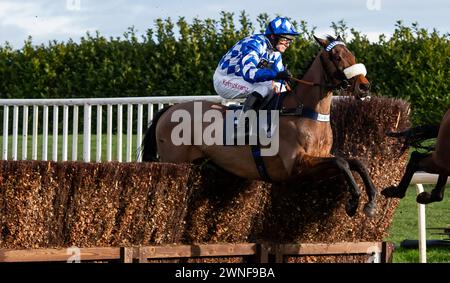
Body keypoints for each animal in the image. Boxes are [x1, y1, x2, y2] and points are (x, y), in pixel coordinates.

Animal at [142, 35, 378, 217]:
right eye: (337, 56)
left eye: (352, 54)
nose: (364, 87)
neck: (303, 111)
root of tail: (170, 110)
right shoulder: (296, 165)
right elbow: (341, 163)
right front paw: (354, 201)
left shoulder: (319, 157)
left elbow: (355, 162)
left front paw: (371, 201)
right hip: (174, 161)